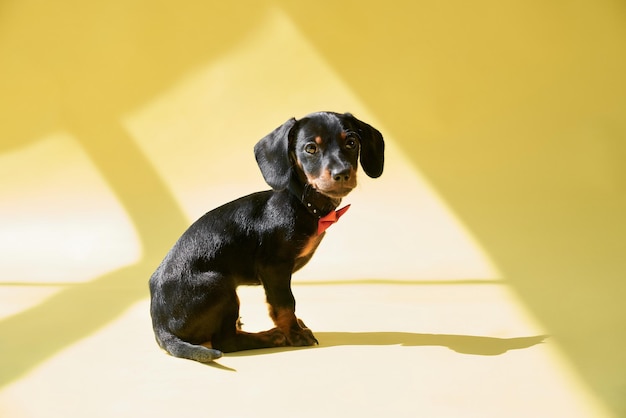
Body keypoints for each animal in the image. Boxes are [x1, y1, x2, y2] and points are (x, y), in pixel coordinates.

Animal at [149, 112, 382, 362]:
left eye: (352, 143)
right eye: (310, 148)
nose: (342, 174)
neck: (301, 203)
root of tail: (160, 326)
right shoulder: (274, 268)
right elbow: (285, 304)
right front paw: (294, 334)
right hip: (220, 285)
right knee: (226, 341)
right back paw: (270, 337)